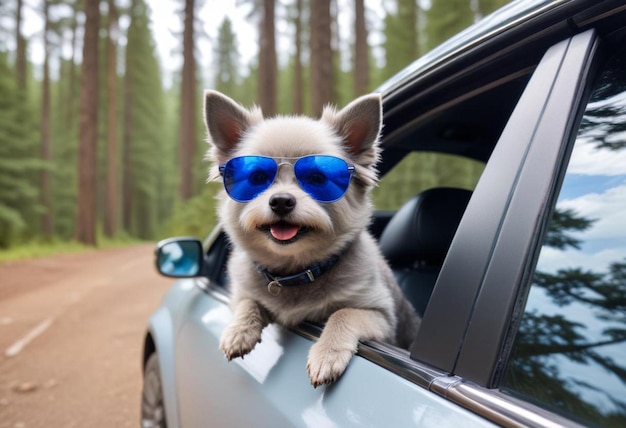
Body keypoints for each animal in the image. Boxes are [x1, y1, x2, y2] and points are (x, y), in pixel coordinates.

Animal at [204, 90, 420, 388]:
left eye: (317, 178)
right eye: (258, 177)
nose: (281, 201)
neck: (294, 271)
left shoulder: (381, 317)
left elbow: (342, 313)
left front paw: (327, 354)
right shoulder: (244, 293)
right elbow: (248, 302)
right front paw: (238, 331)